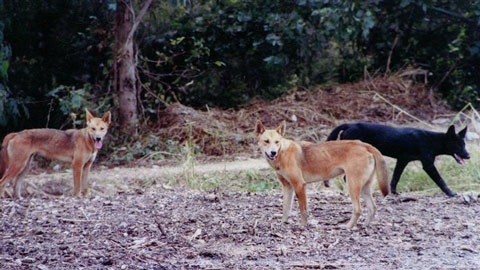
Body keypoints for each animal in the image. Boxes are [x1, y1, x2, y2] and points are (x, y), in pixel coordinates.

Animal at [326, 122, 468, 196]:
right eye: (457, 145)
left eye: (464, 144)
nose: (468, 155)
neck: (432, 141)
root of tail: (350, 124)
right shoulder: (427, 164)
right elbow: (440, 180)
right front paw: (451, 193)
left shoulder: (402, 160)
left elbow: (395, 177)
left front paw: (394, 192)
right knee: (347, 177)